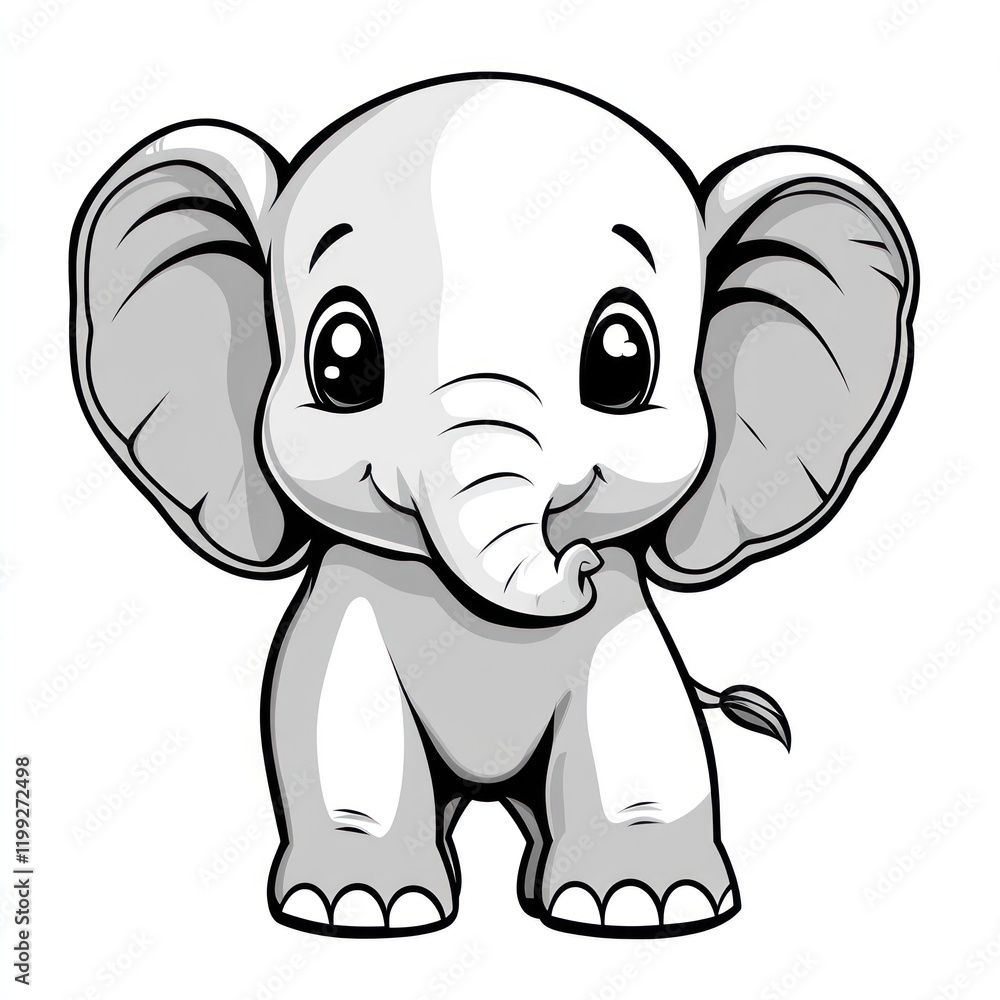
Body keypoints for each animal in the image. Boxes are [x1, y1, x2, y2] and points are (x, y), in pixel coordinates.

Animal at [69, 73, 917, 937]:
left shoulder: (621, 634)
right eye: (341, 361)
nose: (577, 561)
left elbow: (641, 720)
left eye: (622, 360)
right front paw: (359, 908)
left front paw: (647, 905)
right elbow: (333, 719)